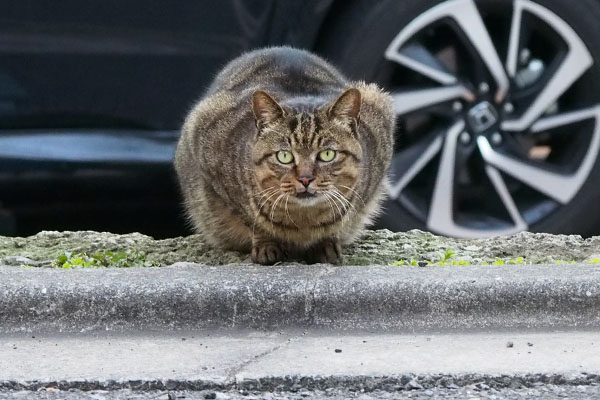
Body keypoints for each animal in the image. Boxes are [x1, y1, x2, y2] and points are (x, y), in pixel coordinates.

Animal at [173, 47, 396, 264]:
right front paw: (266, 245)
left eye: (327, 154)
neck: (304, 220)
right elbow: (252, 220)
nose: (305, 179)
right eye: (284, 156)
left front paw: (326, 243)